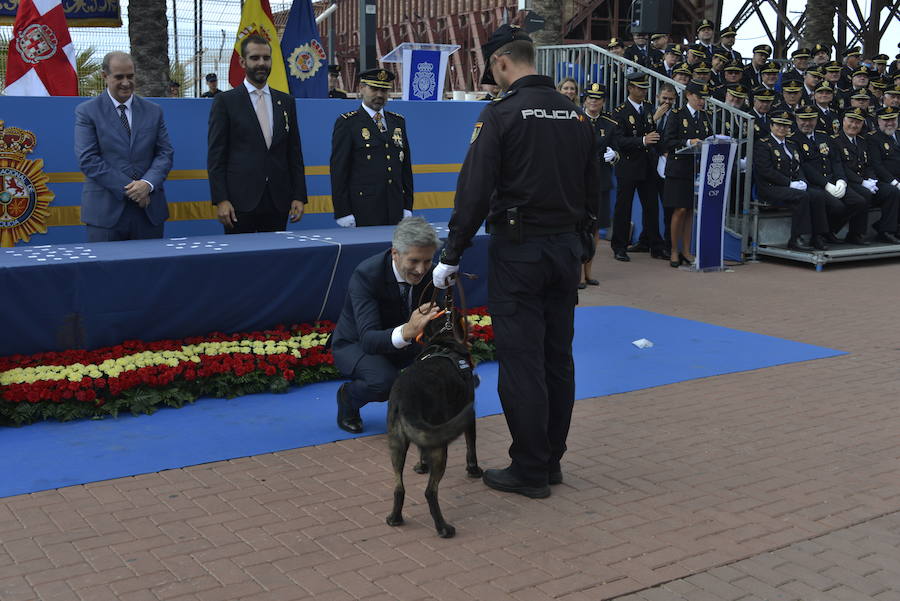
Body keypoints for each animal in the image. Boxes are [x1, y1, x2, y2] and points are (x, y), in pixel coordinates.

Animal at [384, 310, 482, 536]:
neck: (444, 339)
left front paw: (421, 466)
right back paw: (443, 528)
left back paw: (394, 518)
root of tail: (405, 399)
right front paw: (474, 470)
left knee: (398, 487)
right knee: (430, 492)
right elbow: (471, 446)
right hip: (440, 447)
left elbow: (421, 450)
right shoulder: (468, 417)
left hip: (397, 443)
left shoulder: (427, 431)